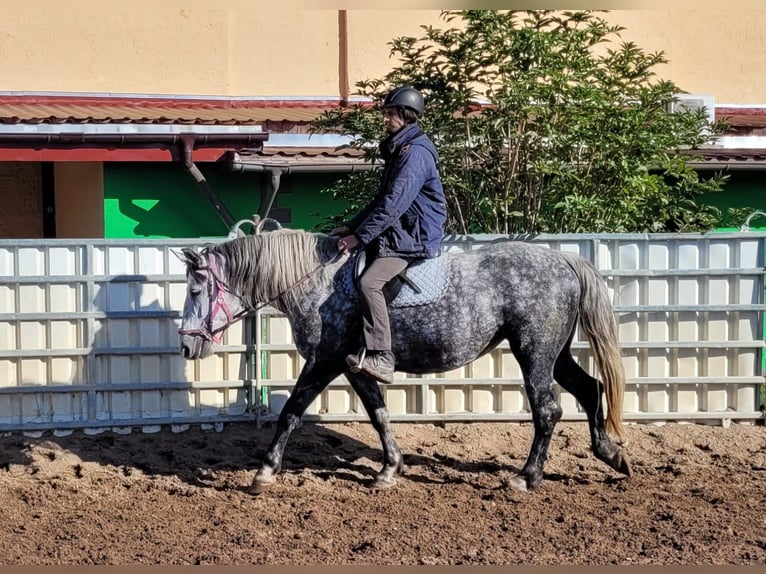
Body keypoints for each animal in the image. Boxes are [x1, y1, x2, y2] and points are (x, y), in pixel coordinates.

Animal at [177, 220, 632, 496]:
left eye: (196, 290)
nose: (186, 347)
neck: (317, 282)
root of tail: (565, 259)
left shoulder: (324, 361)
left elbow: (290, 411)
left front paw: (264, 473)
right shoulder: (354, 366)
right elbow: (378, 414)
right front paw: (388, 470)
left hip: (534, 351)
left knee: (548, 409)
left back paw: (527, 477)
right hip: (555, 352)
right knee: (590, 389)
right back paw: (612, 455)